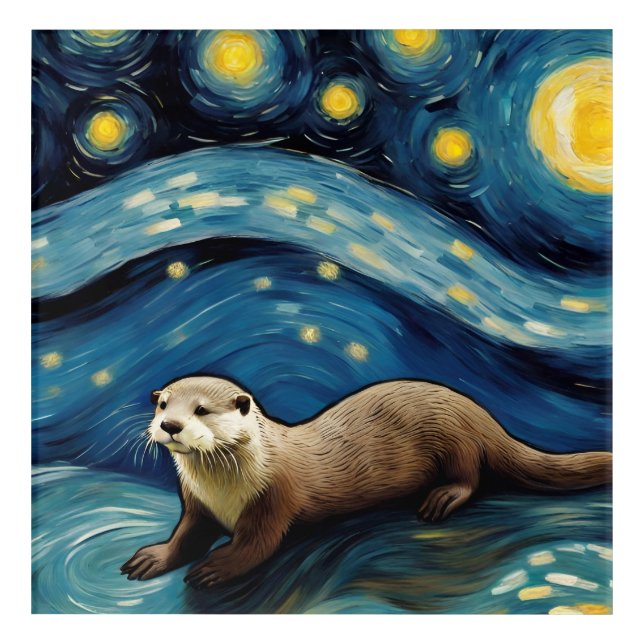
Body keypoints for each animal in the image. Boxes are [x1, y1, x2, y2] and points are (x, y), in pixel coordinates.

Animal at [121, 376, 612, 589]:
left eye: (201, 409)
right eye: (163, 403)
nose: (170, 425)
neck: (224, 492)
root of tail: (480, 412)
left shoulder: (273, 498)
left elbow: (255, 545)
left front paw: (217, 566)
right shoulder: (195, 504)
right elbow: (185, 536)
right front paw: (153, 557)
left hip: (455, 440)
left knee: (470, 475)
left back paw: (441, 498)